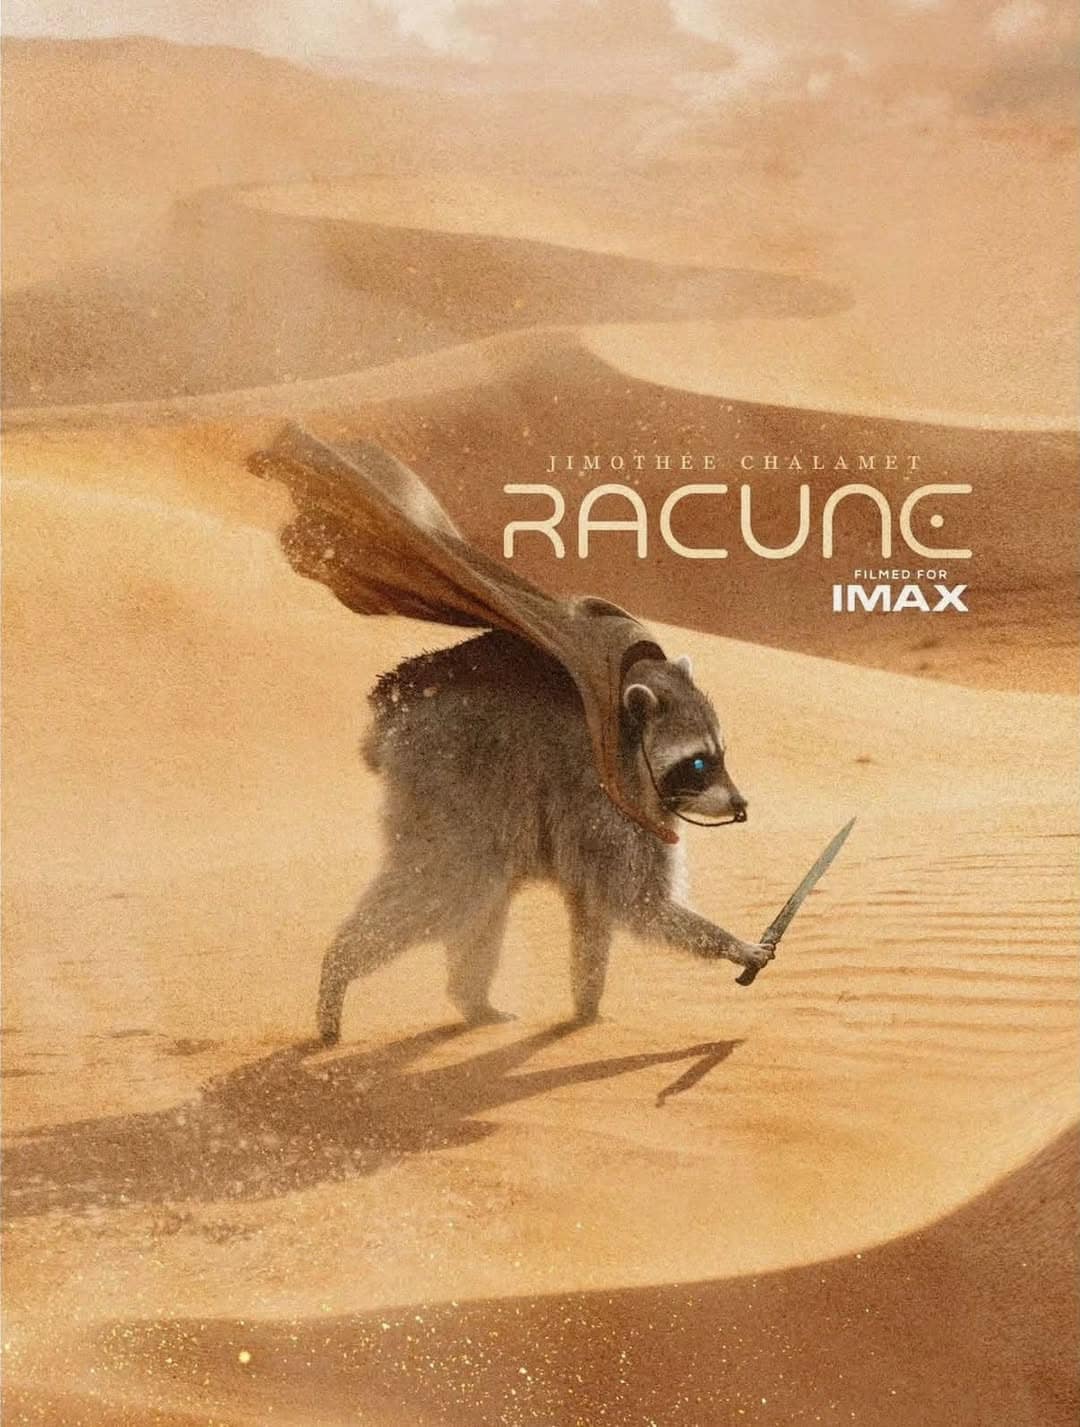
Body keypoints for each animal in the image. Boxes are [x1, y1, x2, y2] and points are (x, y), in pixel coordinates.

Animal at [317, 630, 772, 1043]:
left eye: (720, 756)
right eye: (697, 763)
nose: (740, 803)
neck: (629, 752)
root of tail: (392, 719)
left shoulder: (607, 826)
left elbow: (593, 910)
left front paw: (587, 1006)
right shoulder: (607, 809)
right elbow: (640, 904)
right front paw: (733, 944)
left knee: (484, 900)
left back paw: (471, 999)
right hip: (450, 782)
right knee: (448, 892)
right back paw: (340, 965)